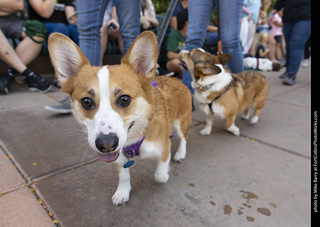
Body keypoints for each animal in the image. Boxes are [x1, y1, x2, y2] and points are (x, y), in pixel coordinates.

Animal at [48, 31, 191, 206]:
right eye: (86, 102)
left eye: (124, 99)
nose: (107, 145)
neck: (135, 138)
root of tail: (178, 80)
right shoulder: (118, 157)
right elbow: (124, 176)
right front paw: (123, 192)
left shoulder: (163, 149)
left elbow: (160, 175)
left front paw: (165, 173)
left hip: (181, 122)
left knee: (183, 138)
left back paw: (180, 153)